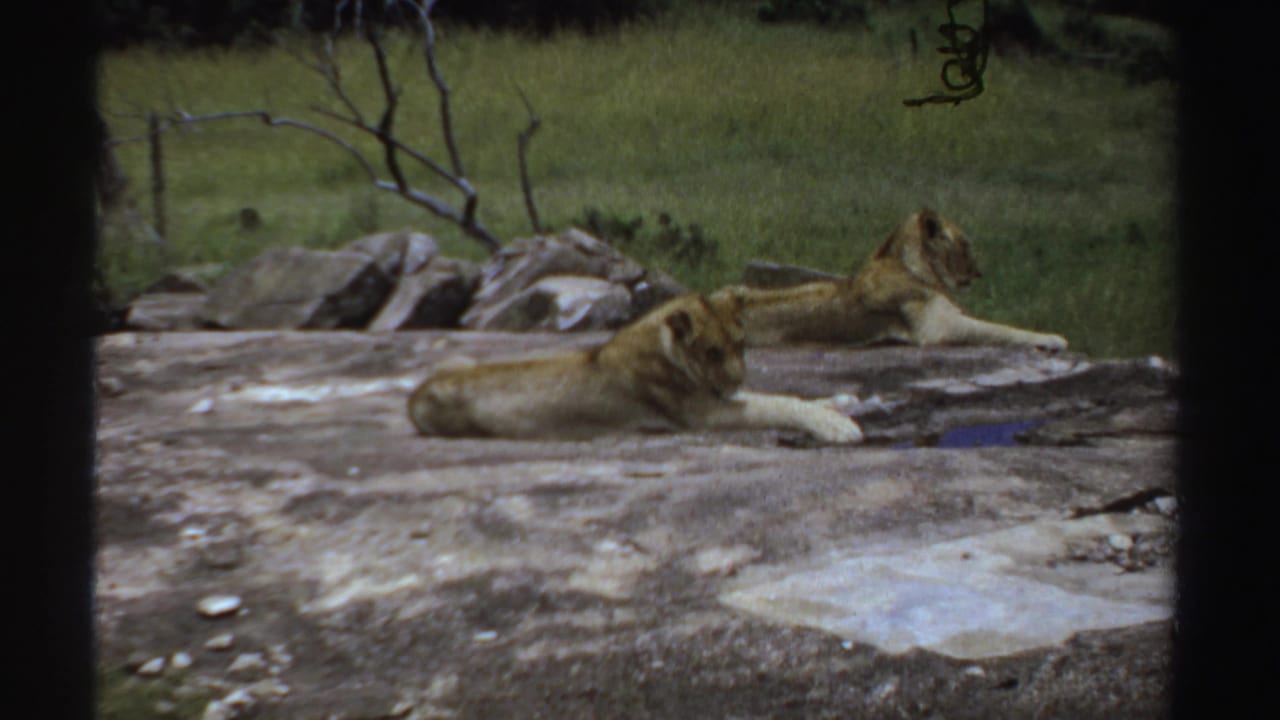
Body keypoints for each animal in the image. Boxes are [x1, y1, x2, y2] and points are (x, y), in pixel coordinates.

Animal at [407, 292, 863, 443]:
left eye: (740, 345)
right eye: (712, 352)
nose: (737, 378)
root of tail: (413, 395)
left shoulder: (717, 396)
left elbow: (780, 394)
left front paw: (839, 401)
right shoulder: (702, 415)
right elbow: (776, 404)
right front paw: (837, 425)